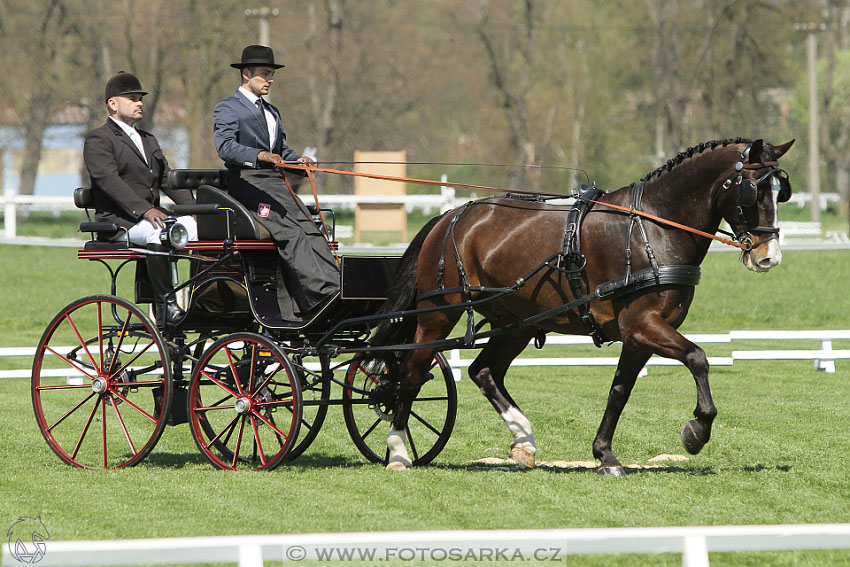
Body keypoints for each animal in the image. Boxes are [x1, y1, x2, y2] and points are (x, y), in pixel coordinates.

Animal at [372, 136, 796, 474]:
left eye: (781, 192)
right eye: (751, 191)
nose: (769, 257)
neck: (653, 226)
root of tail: (451, 215)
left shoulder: (639, 334)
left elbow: (619, 391)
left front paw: (605, 455)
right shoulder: (643, 324)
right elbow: (698, 358)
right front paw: (697, 431)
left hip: (518, 322)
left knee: (484, 371)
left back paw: (524, 440)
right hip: (439, 313)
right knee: (411, 371)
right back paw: (398, 451)